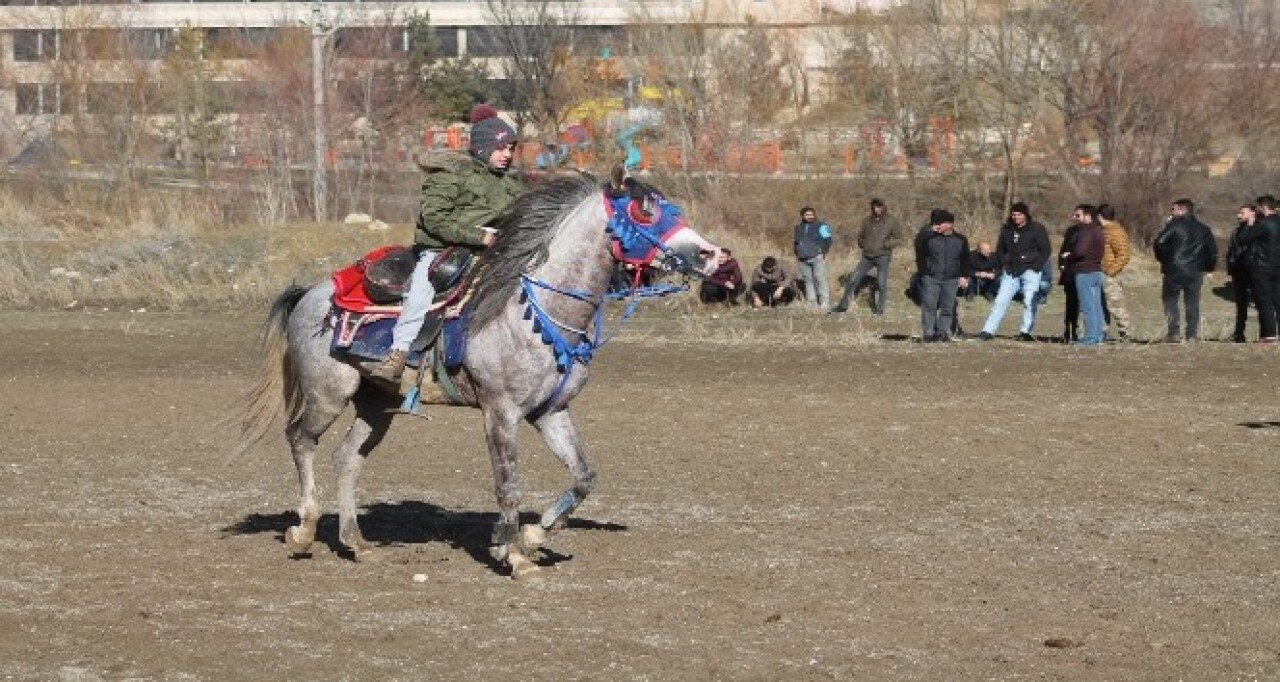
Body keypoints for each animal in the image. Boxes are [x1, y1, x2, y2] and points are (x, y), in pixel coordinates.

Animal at [240, 170, 721, 573]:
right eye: (644, 210)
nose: (711, 254)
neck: (533, 312)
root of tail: (310, 293)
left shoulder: (550, 412)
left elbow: (584, 477)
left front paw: (531, 538)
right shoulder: (499, 412)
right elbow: (508, 485)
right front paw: (513, 554)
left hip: (377, 404)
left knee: (346, 460)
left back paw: (356, 542)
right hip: (327, 393)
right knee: (301, 439)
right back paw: (303, 531)